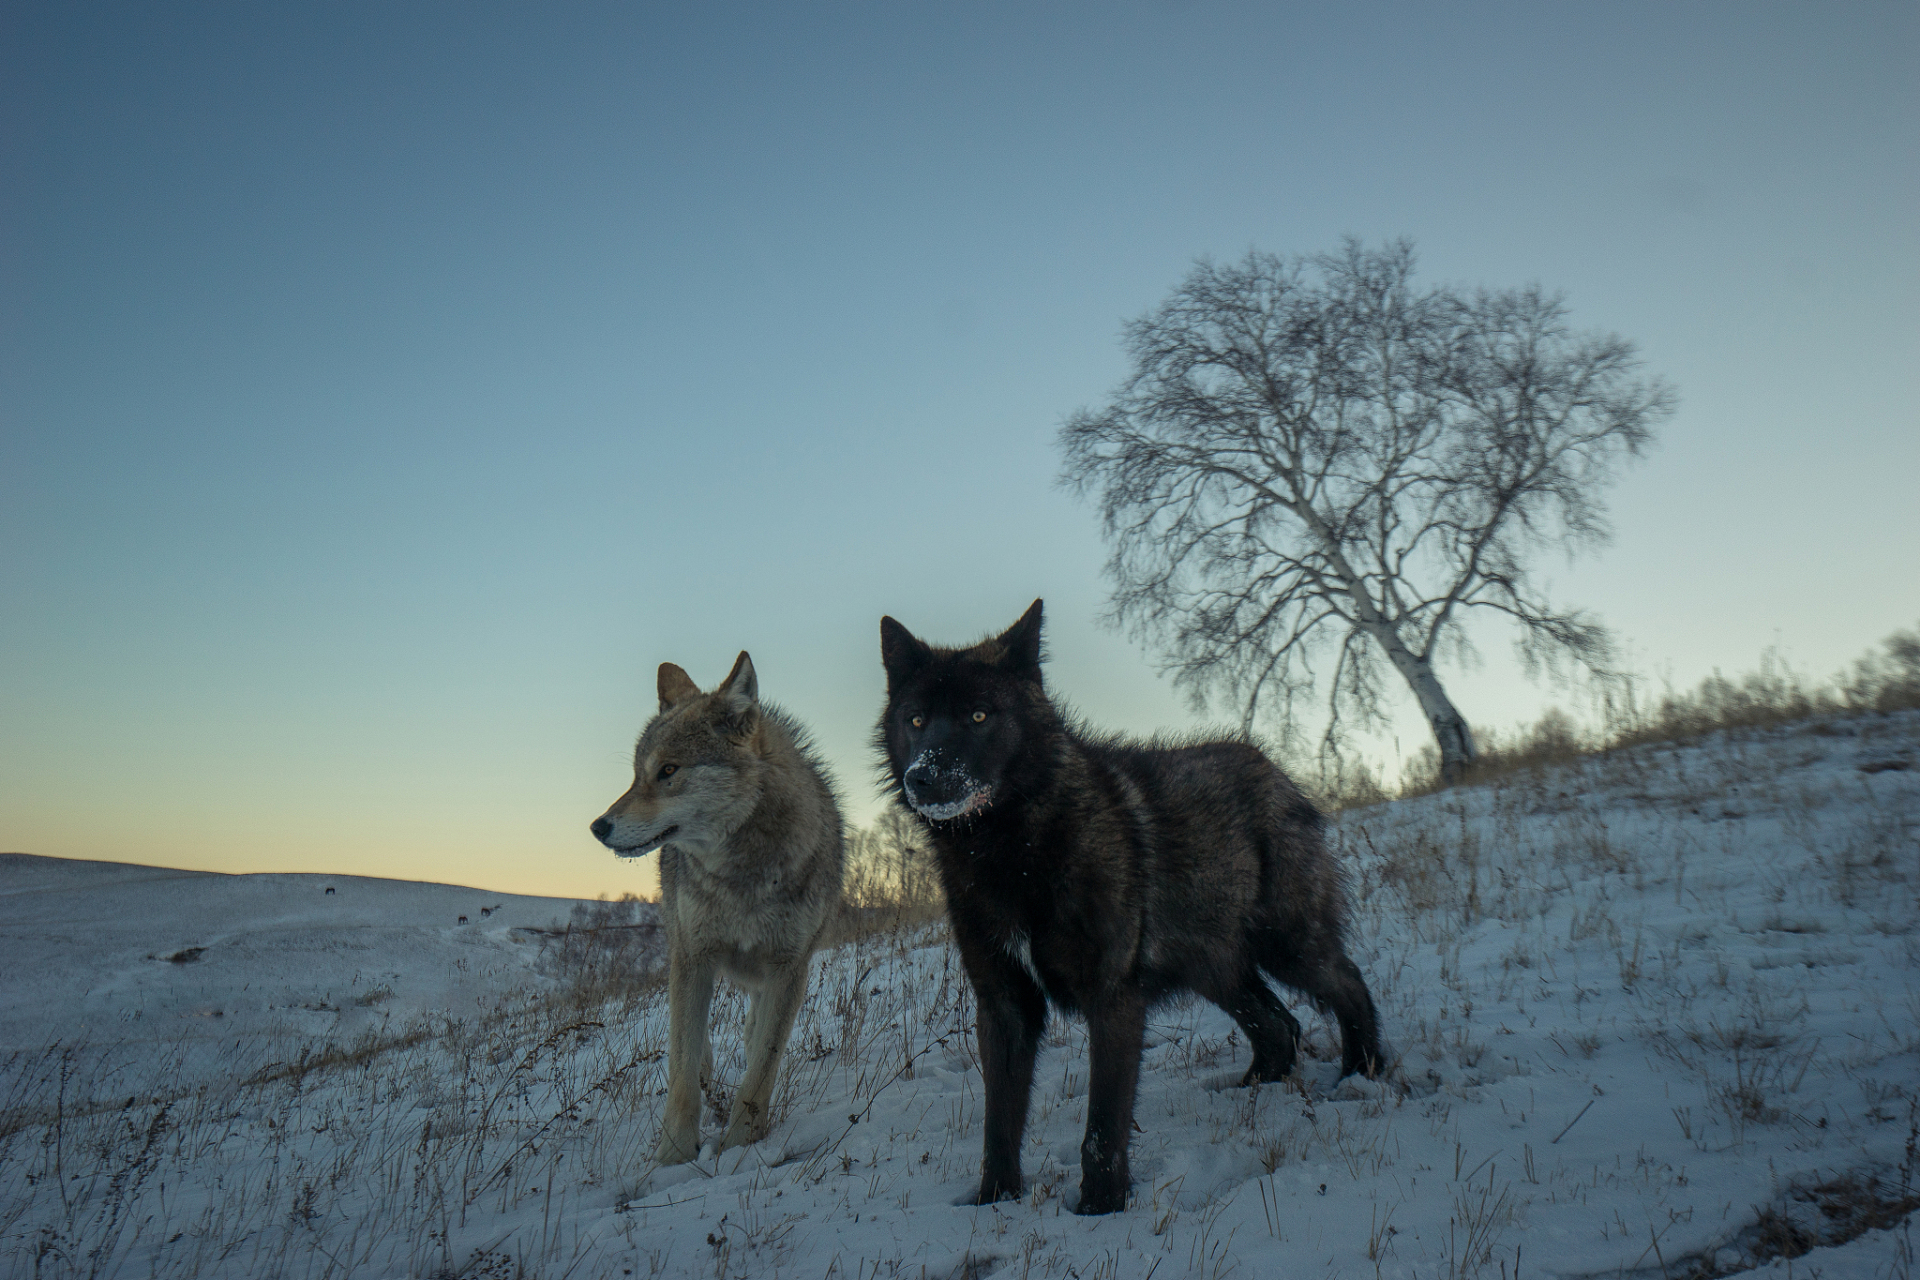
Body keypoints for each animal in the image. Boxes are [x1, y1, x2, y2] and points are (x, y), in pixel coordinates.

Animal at [591, 656, 840, 1166]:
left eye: (668, 770)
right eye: (636, 775)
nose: (598, 827)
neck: (743, 878)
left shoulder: (789, 969)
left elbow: (761, 1070)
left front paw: (741, 1147)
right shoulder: (694, 957)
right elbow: (682, 1071)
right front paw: (673, 1157)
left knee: (752, 1032)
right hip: (682, 949)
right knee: (692, 1042)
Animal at [879, 602, 1374, 1212]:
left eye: (978, 715)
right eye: (916, 721)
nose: (922, 778)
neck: (1012, 853)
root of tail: (1267, 762)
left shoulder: (1113, 997)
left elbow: (1103, 1125)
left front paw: (1099, 1209)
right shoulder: (1004, 1006)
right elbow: (999, 1123)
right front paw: (995, 1201)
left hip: (1288, 946)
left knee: (1348, 984)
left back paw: (1363, 1075)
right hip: (1216, 968)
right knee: (1280, 1026)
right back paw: (1248, 1096)